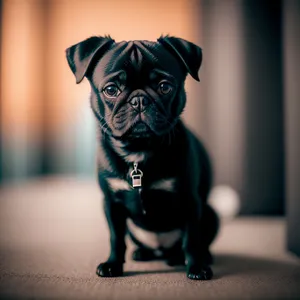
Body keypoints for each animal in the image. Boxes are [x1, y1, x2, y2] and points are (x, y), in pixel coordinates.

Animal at [65, 35, 219, 282]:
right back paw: (143, 253)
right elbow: (116, 239)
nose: (138, 100)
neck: (139, 151)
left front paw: (196, 268)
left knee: (191, 243)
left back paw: (188, 257)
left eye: (164, 87)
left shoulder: (190, 202)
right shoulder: (112, 204)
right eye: (111, 90)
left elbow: (192, 239)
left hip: (210, 214)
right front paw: (112, 265)